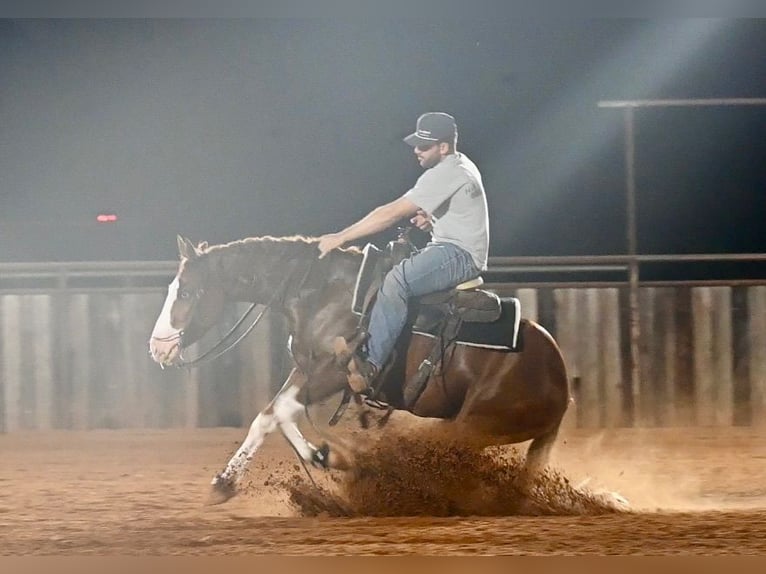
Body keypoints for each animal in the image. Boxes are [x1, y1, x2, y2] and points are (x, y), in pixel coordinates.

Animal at [149, 234, 571, 503]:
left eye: (186, 291)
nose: (157, 347)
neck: (323, 293)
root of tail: (559, 376)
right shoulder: (308, 370)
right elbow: (270, 415)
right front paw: (225, 483)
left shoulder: (335, 373)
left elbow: (281, 411)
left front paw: (327, 456)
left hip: (473, 426)